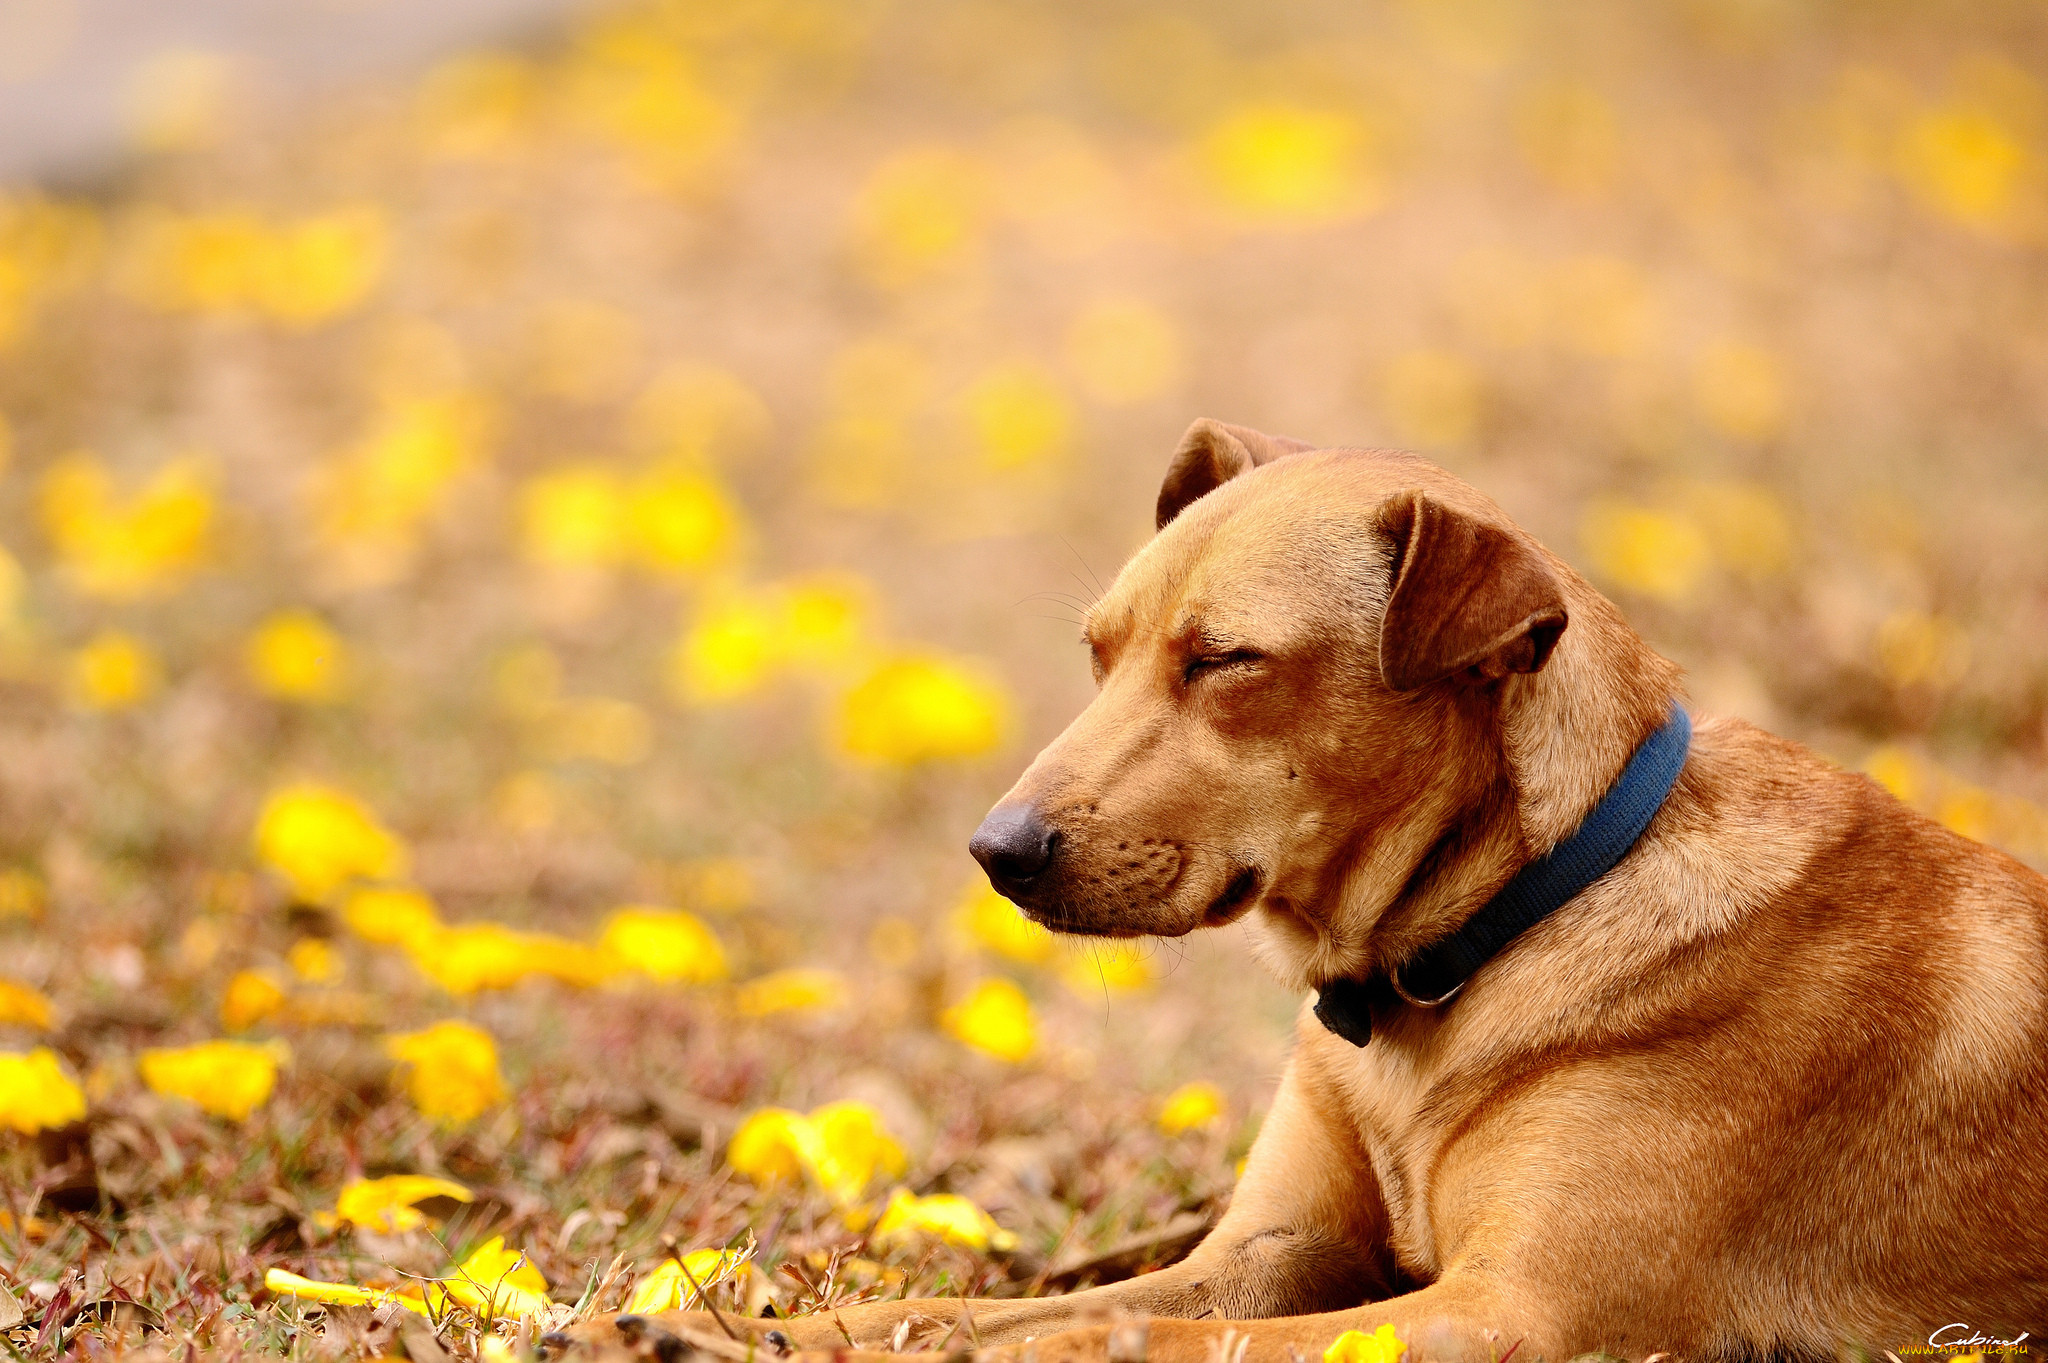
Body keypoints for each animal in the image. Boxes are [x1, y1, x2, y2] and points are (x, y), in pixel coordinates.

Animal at [552, 421, 2039, 1358]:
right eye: (1098, 649)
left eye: (1226, 661)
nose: (996, 850)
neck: (1479, 943)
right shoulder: (1261, 1253)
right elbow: (964, 1308)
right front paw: (714, 1319)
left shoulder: (1503, 1311)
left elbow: (1095, 1332)